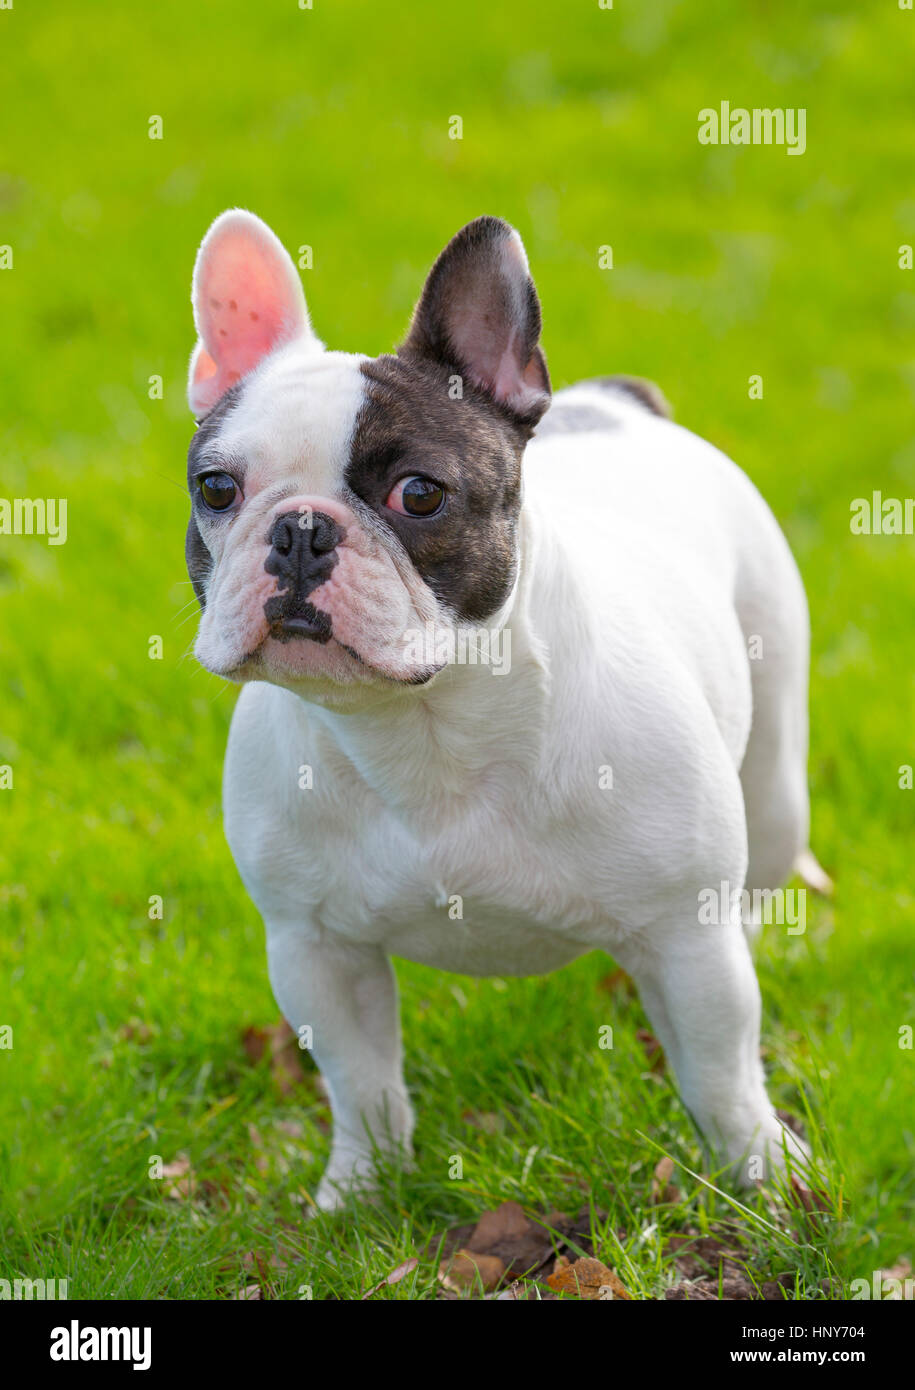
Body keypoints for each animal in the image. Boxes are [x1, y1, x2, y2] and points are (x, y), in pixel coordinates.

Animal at [183, 205, 817, 1206]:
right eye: (216, 489)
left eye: (419, 494)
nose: (299, 530)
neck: (426, 730)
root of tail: (616, 403)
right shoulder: (314, 949)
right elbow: (361, 1083)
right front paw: (359, 1194)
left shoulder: (685, 938)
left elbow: (720, 1070)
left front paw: (761, 1171)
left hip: (774, 781)